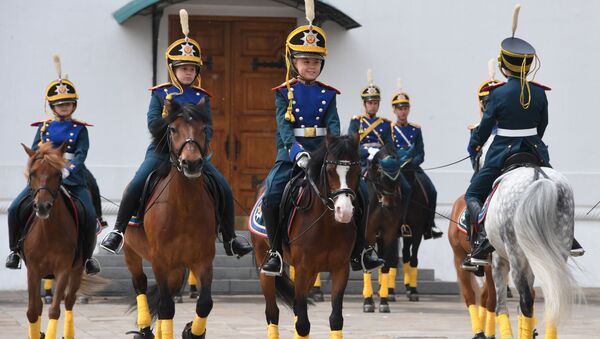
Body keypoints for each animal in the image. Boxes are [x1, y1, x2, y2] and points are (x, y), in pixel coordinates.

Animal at [123, 103, 217, 339]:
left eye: (204, 129)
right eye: (173, 129)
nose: (192, 163)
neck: (184, 207)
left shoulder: (203, 260)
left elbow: (205, 303)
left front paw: (192, 331)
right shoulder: (160, 261)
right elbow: (165, 307)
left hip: (176, 268)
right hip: (131, 252)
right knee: (140, 284)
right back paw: (144, 330)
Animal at [252, 134, 360, 339]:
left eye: (356, 169)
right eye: (330, 170)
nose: (345, 211)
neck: (327, 225)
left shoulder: (340, 269)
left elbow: (335, 319)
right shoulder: (302, 269)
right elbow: (302, 324)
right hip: (264, 262)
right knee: (272, 313)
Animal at [360, 143, 404, 314]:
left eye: (398, 174)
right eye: (380, 172)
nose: (389, 204)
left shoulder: (389, 233)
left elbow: (385, 264)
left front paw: (384, 301)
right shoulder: (368, 233)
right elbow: (366, 263)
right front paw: (368, 301)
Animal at [482, 166, 576, 338]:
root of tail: (538, 177)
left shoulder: (499, 261)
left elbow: (501, 308)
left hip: (515, 255)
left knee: (526, 301)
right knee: (552, 299)